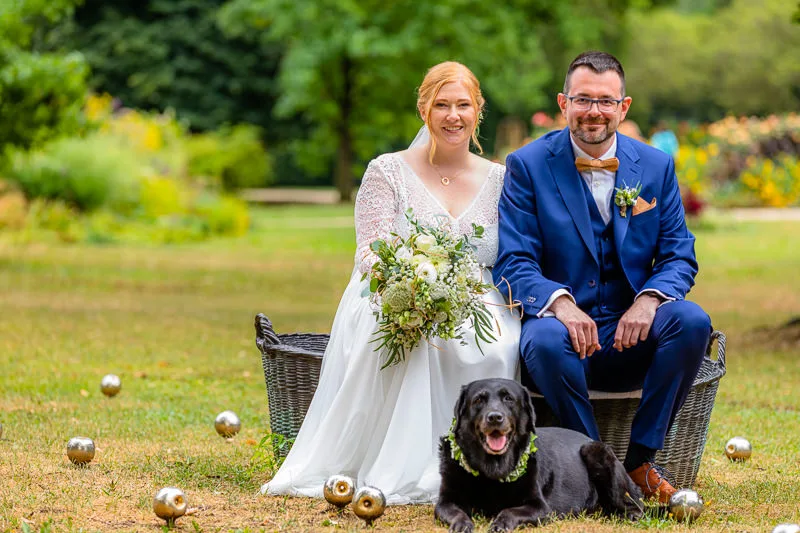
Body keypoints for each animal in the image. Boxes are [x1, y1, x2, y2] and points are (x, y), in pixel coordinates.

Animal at [438, 376, 644, 528]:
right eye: (478, 400)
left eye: (508, 398)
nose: (495, 417)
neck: (493, 471)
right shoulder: (445, 502)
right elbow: (456, 513)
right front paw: (462, 524)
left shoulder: (539, 507)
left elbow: (510, 510)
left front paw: (501, 523)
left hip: (597, 452)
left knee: (635, 504)